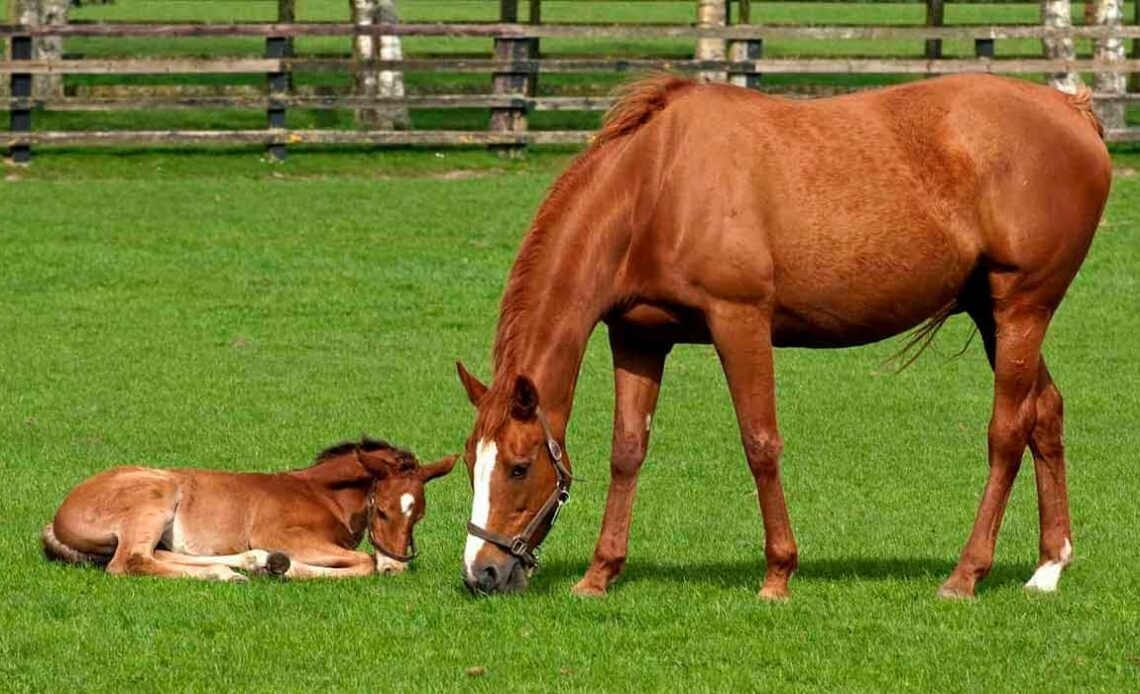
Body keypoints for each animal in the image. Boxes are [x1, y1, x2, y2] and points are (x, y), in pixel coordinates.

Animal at [40, 437, 458, 578]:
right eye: (382, 510)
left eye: (418, 515)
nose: (395, 568)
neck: (321, 494)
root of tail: (58, 516)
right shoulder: (284, 535)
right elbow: (364, 562)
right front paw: (288, 570)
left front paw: (274, 565)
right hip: (156, 495)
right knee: (130, 561)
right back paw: (232, 573)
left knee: (157, 555)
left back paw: (251, 563)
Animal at [456, 72, 1112, 597]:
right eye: (469, 463)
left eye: (518, 467)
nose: (481, 573)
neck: (655, 184)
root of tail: (1072, 109)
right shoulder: (638, 337)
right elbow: (628, 450)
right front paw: (600, 574)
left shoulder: (739, 321)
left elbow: (760, 444)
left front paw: (778, 574)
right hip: (991, 313)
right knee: (1045, 413)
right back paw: (1048, 567)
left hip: (1022, 307)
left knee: (1007, 433)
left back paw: (966, 574)